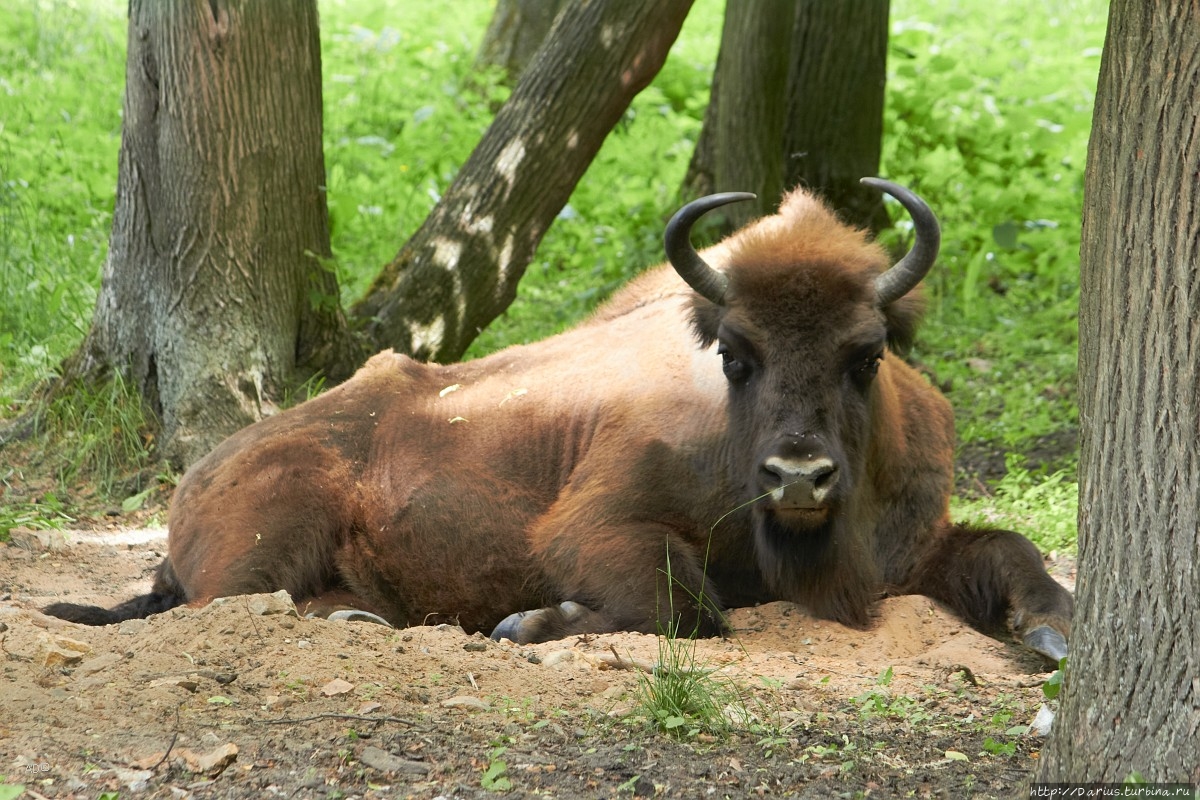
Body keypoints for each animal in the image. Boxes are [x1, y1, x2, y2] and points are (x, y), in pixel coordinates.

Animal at [49, 179, 1080, 662]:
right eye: (734, 354)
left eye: (866, 355)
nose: (797, 477)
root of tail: (198, 479)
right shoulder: (594, 524)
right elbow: (684, 606)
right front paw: (525, 624)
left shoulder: (914, 545)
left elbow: (1013, 553)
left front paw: (1053, 633)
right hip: (271, 529)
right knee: (231, 607)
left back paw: (363, 619)